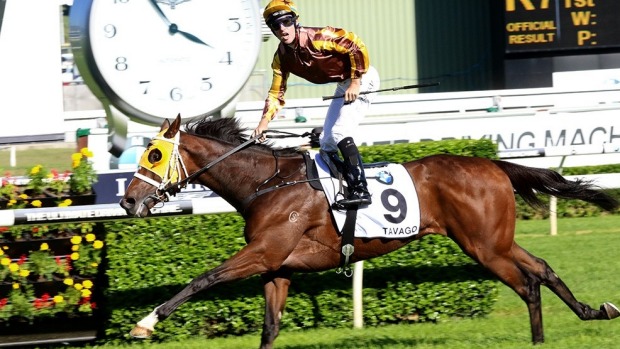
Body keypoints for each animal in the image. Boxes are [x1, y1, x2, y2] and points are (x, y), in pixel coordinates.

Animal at [120, 113, 620, 346]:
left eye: (154, 156)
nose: (127, 200)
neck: (267, 182)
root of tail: (493, 164)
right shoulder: (278, 267)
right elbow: (270, 326)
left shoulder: (264, 253)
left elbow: (203, 279)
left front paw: (144, 323)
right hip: (495, 240)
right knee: (543, 268)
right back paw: (592, 312)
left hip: (484, 246)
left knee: (528, 283)